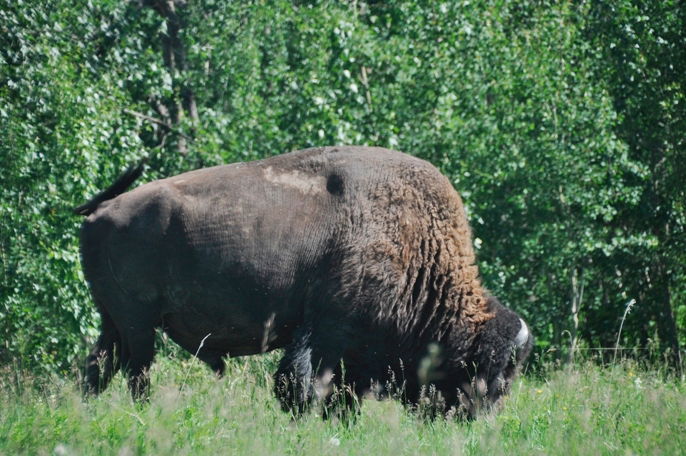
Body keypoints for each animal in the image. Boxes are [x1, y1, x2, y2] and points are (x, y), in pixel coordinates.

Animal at [78, 148, 536, 418]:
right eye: (493, 377)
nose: (479, 421)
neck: (414, 241)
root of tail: (103, 209)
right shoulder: (326, 333)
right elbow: (301, 384)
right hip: (138, 326)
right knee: (136, 374)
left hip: (114, 324)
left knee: (97, 369)